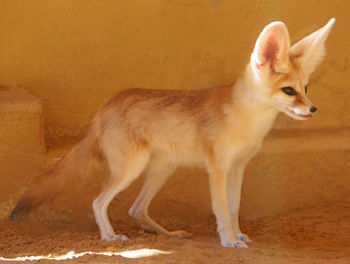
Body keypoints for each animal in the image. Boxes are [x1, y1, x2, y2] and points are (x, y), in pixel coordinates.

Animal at [9, 18, 334, 248]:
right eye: (288, 91)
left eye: (306, 88)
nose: (313, 109)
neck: (247, 121)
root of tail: (104, 108)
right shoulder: (217, 168)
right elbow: (221, 209)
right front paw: (228, 240)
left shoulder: (238, 167)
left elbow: (234, 208)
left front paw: (238, 235)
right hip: (132, 170)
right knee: (99, 202)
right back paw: (109, 237)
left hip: (161, 170)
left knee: (136, 210)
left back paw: (168, 234)